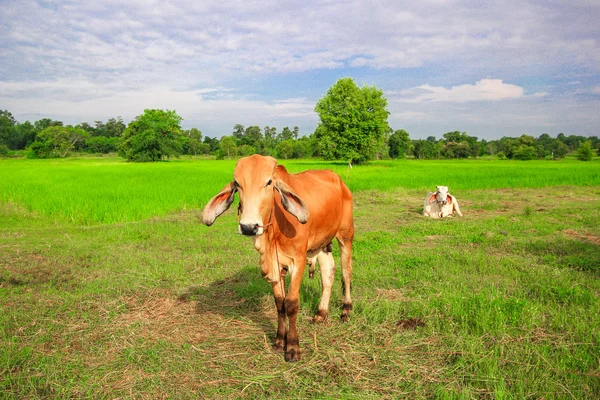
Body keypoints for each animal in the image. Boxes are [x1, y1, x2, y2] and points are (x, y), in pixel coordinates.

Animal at [202, 155, 354, 362]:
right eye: (238, 184)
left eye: (269, 182)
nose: (249, 227)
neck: (274, 230)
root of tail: (338, 179)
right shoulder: (275, 265)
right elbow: (279, 303)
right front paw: (280, 341)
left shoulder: (297, 261)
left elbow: (291, 303)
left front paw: (293, 347)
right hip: (322, 243)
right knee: (328, 273)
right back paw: (321, 313)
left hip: (346, 235)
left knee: (346, 273)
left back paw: (346, 310)